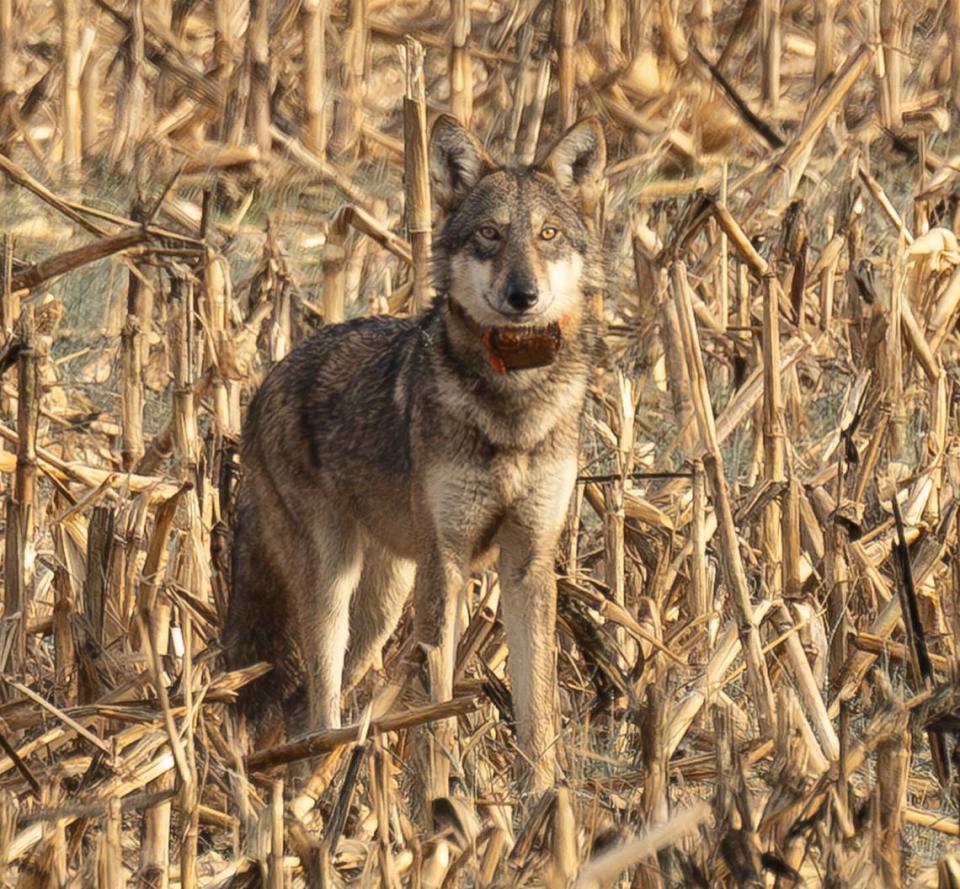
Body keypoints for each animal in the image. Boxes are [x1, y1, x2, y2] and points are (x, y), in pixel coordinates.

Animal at [221, 114, 604, 796]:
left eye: (548, 234)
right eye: (490, 234)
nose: (523, 295)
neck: (512, 401)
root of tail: (270, 378)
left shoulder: (528, 562)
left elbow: (538, 704)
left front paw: (541, 798)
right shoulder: (444, 565)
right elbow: (439, 701)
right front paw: (439, 797)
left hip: (382, 605)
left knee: (305, 705)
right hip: (336, 586)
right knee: (318, 702)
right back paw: (312, 790)